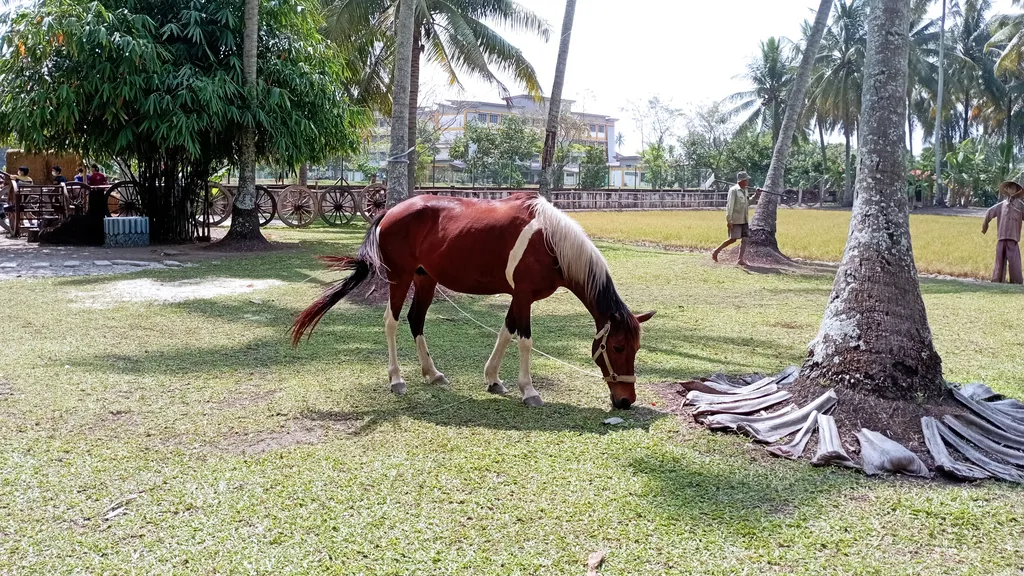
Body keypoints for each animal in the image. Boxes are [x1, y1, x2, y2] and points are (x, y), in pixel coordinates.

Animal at [292, 192, 651, 407]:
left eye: (636, 348)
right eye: (618, 347)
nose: (626, 400)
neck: (549, 240)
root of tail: (390, 211)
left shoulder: (519, 296)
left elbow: (506, 332)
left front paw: (493, 379)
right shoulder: (524, 295)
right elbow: (524, 340)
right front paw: (529, 390)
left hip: (425, 279)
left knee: (415, 320)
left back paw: (432, 373)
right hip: (400, 278)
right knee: (391, 322)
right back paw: (397, 379)